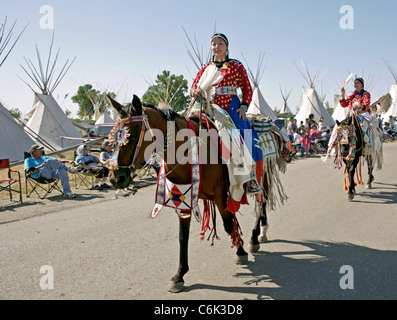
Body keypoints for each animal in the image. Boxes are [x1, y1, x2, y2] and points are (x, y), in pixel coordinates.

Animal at [106, 95, 284, 292]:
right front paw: (179, 274)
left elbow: (228, 224)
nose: (116, 178)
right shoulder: (182, 199)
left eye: (135, 133)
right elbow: (183, 236)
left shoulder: (220, 197)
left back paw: (255, 237)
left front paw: (240, 251)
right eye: (114, 136)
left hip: (263, 175)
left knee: (262, 203)